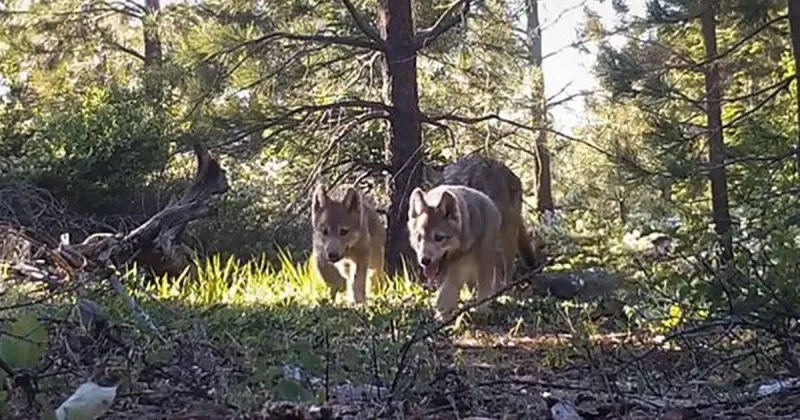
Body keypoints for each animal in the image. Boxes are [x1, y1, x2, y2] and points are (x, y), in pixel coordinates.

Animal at [407, 184, 503, 315]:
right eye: (419, 237)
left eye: (439, 237)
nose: (424, 261)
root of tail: (488, 200)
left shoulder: (459, 268)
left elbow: (449, 290)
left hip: (485, 259)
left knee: (484, 287)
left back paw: (481, 309)